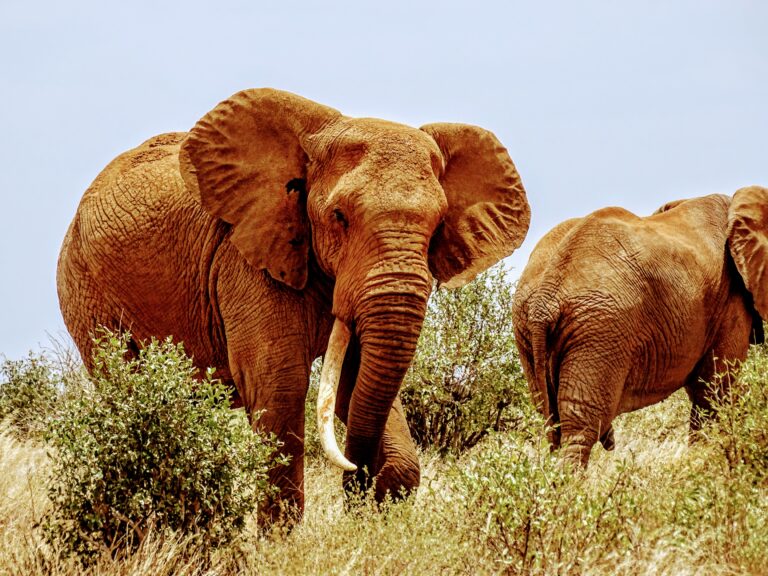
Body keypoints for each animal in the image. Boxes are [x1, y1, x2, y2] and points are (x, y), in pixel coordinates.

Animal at [57, 88, 531, 520]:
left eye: (437, 227)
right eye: (339, 216)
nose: (355, 482)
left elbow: (356, 383)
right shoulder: (248, 256)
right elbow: (280, 385)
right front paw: (279, 544)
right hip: (83, 287)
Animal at [512, 186, 767, 466]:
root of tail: (545, 296)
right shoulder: (729, 300)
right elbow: (714, 391)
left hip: (529, 330)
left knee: (551, 420)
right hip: (600, 330)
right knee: (580, 427)